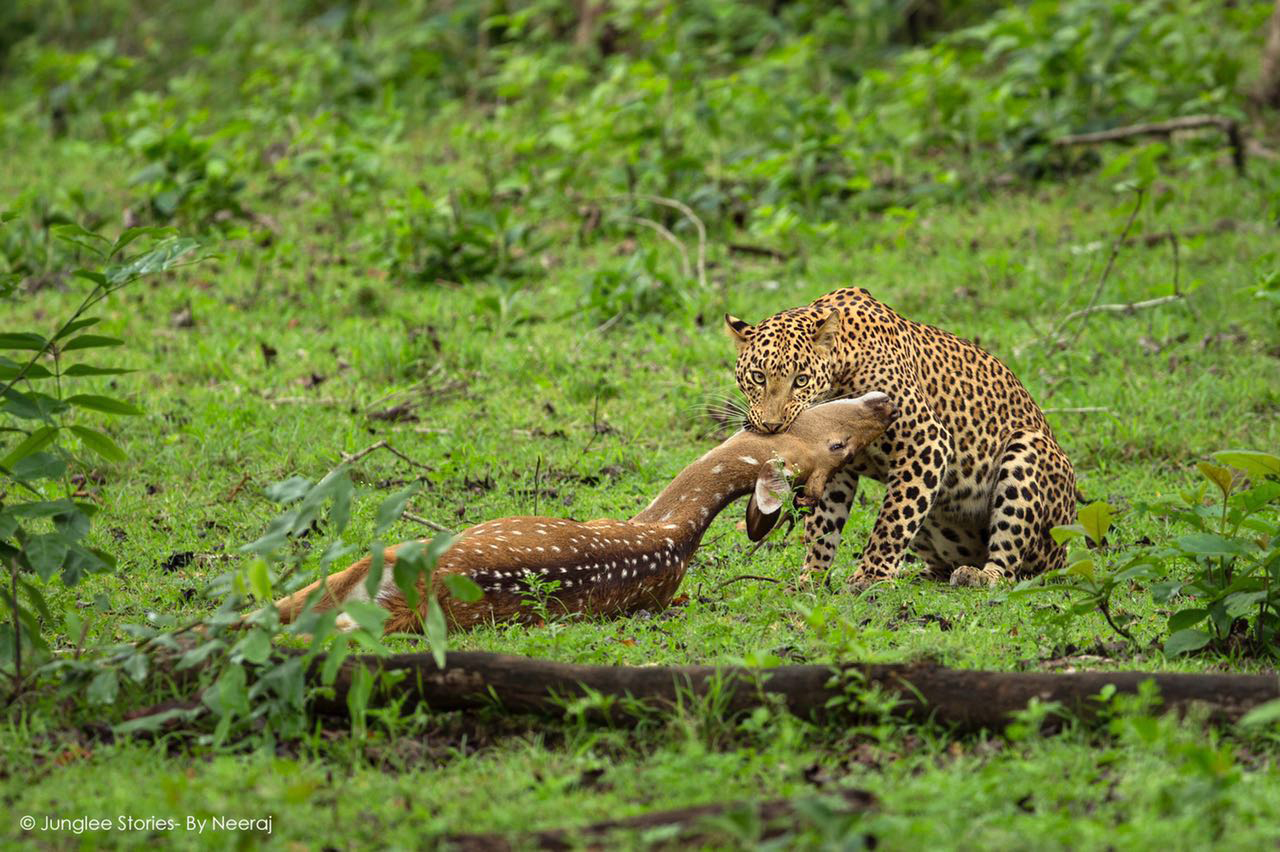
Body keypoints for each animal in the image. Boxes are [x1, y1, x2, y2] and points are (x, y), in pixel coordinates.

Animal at [727, 285, 1075, 583]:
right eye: (758, 376)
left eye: (800, 379)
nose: (772, 425)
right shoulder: (834, 464)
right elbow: (824, 525)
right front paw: (811, 578)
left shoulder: (927, 442)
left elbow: (893, 520)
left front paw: (870, 576)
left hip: (1027, 449)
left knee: (1010, 566)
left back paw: (979, 576)